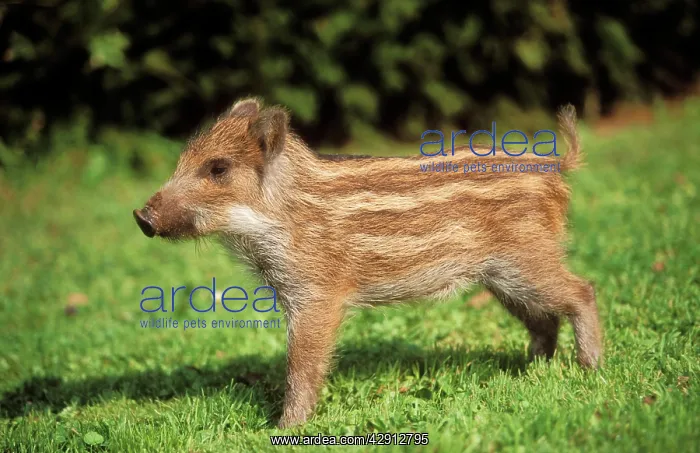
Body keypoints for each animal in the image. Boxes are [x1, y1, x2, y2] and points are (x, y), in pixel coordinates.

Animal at [133, 98, 602, 428]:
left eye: (218, 168)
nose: (141, 217)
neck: (279, 217)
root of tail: (555, 167)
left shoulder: (317, 295)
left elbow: (302, 364)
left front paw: (284, 428)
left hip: (526, 260)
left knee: (582, 291)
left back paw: (590, 369)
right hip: (501, 277)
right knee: (544, 319)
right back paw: (531, 372)